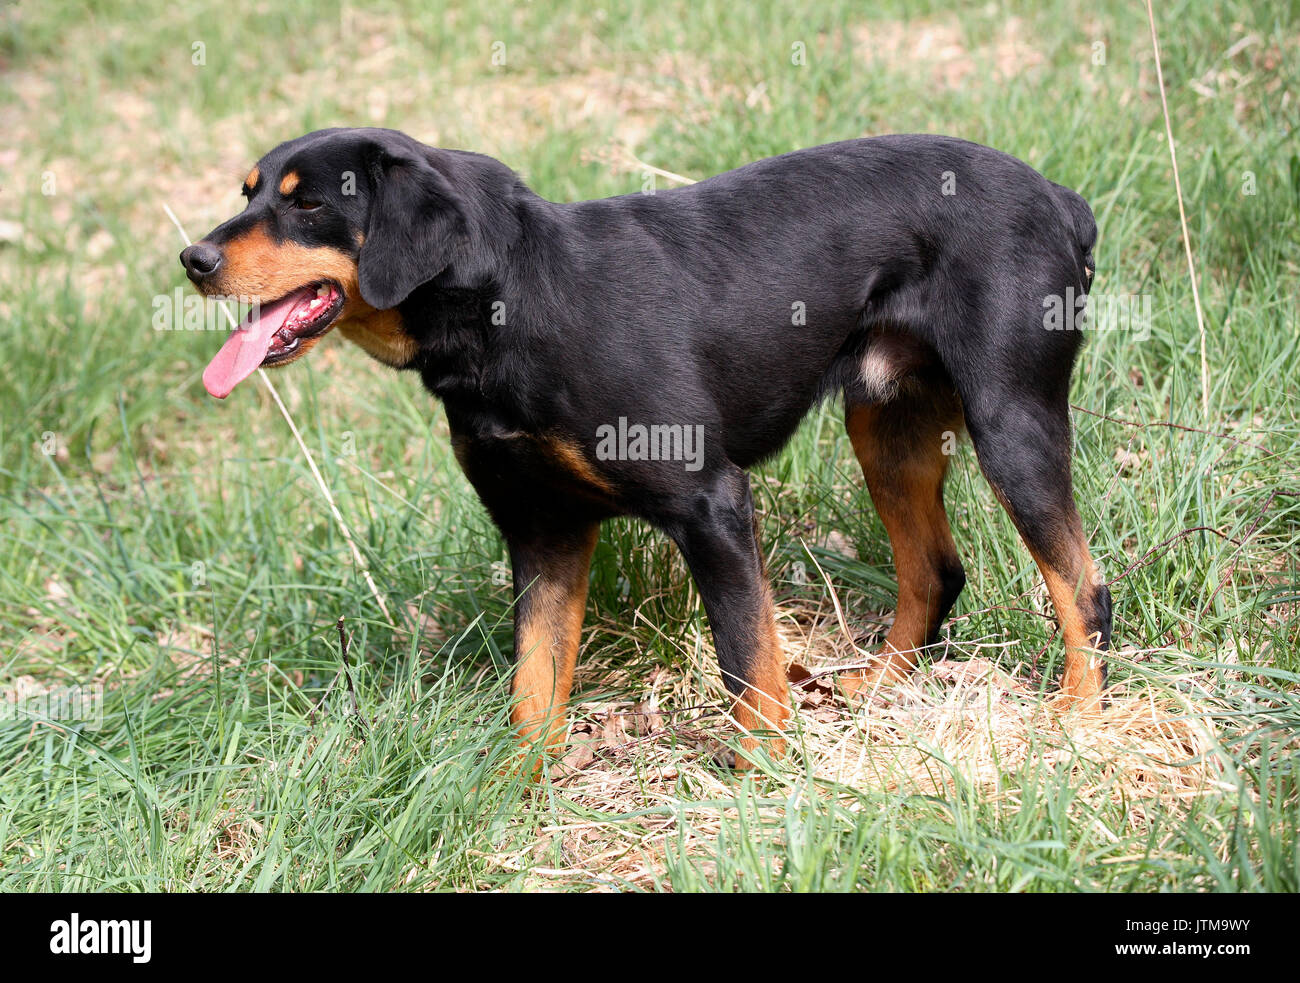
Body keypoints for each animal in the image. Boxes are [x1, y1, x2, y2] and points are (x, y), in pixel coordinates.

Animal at [183, 126, 1112, 769]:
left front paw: (762, 776)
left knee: (1083, 587)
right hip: (885, 423)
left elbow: (748, 663)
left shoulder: (712, 505)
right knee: (935, 569)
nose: (192, 257)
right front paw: (513, 792)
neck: (511, 305)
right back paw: (879, 683)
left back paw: (1080, 718)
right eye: (249, 191)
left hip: (1011, 423)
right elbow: (534, 687)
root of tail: (1061, 198)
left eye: (308, 204)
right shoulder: (542, 532)